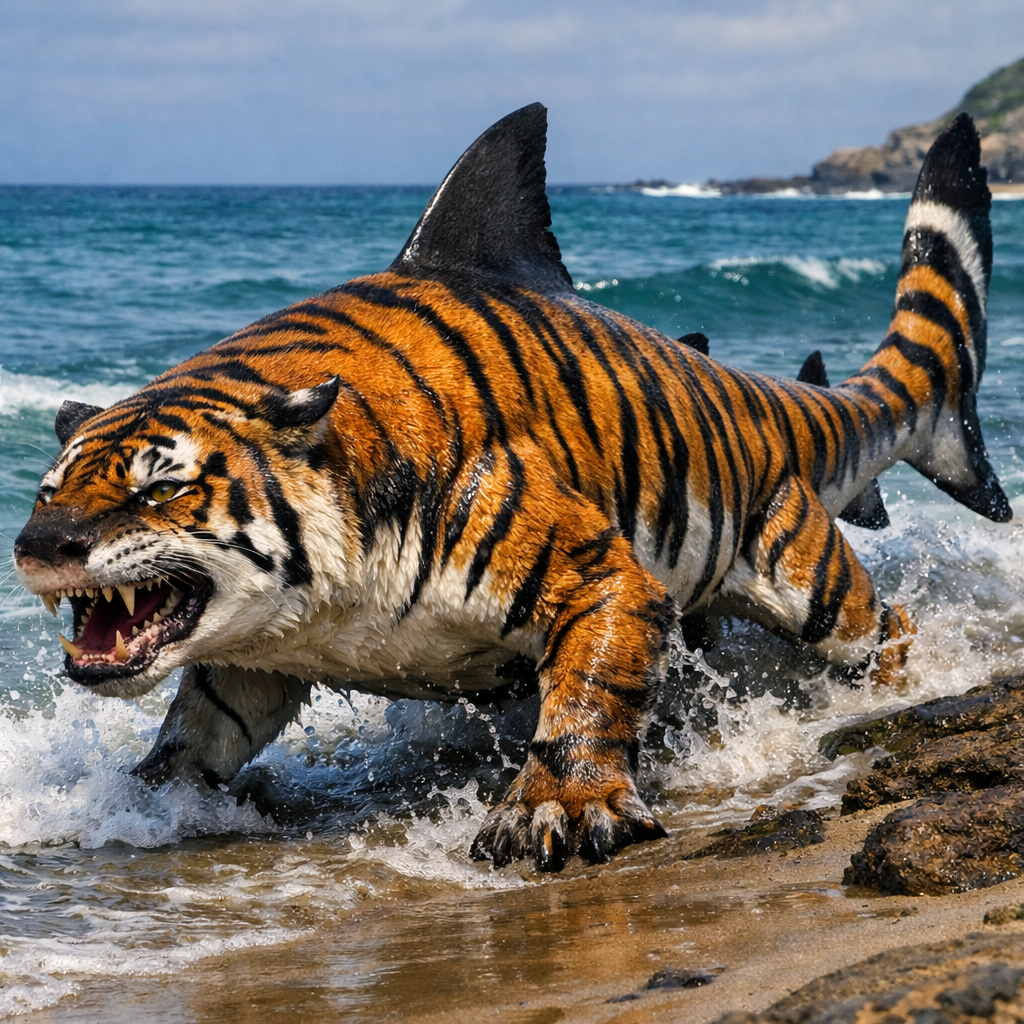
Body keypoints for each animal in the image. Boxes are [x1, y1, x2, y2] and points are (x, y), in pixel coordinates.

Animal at [14, 105, 1012, 872]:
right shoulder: (252, 657)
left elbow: (589, 691)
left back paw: (897, 688)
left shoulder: (600, 576)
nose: (39, 548)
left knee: (882, 625)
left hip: (803, 568)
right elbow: (196, 730)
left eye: (161, 487)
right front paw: (141, 802)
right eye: (45, 490)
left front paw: (557, 806)